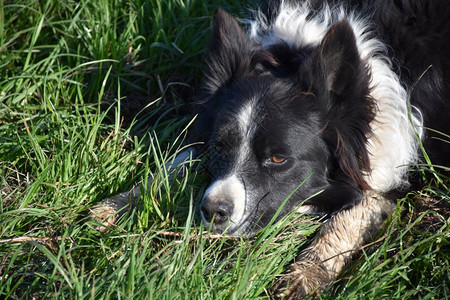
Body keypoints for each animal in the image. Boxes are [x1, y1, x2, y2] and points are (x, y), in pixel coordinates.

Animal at [91, 0, 450, 298]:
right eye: (219, 148)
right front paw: (114, 207)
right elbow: (175, 162)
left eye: (278, 158)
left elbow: (349, 216)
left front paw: (302, 277)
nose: (212, 211)